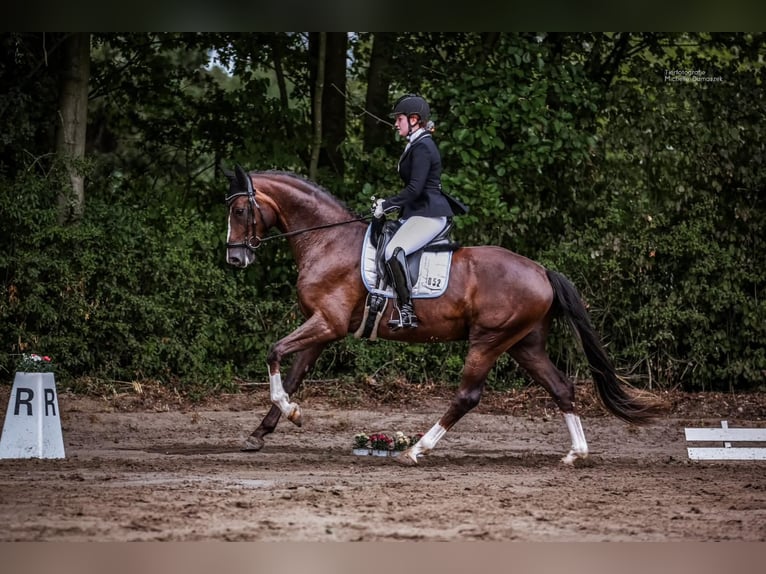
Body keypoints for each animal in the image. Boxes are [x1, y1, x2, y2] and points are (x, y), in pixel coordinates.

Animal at [224, 166, 664, 468]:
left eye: (242, 209)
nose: (235, 259)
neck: (326, 240)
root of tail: (541, 271)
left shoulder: (326, 323)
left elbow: (274, 352)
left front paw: (287, 412)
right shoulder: (323, 327)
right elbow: (293, 372)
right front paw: (266, 429)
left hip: (489, 340)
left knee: (468, 395)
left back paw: (417, 449)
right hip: (524, 344)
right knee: (561, 388)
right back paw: (576, 453)